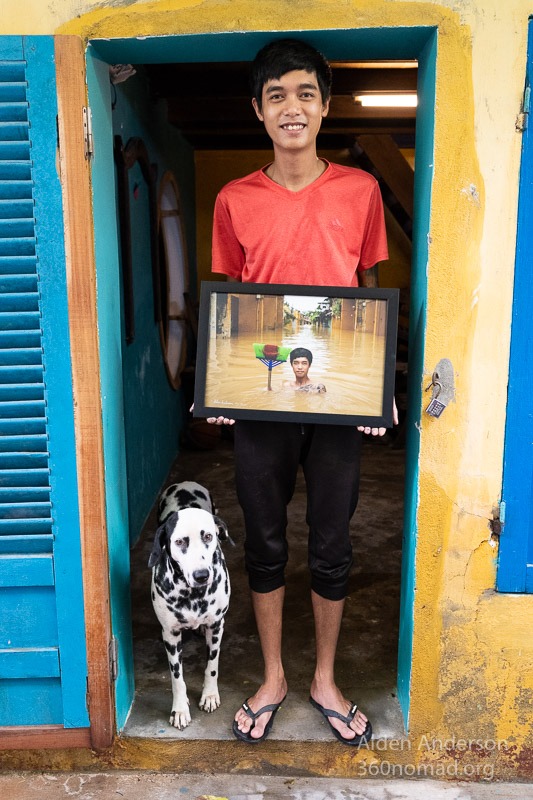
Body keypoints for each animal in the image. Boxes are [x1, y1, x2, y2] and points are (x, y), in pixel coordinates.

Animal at [147, 482, 230, 732]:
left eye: (209, 536)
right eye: (179, 541)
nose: (201, 575)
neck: (192, 595)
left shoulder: (216, 626)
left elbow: (212, 665)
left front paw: (210, 695)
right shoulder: (171, 634)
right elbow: (177, 677)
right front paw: (180, 709)